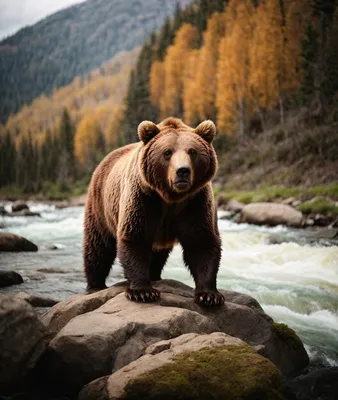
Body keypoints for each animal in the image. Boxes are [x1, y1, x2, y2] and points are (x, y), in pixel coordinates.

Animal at [83, 116, 223, 306]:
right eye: (167, 152)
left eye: (192, 152)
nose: (182, 171)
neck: (171, 197)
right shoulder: (143, 199)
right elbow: (135, 238)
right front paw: (142, 292)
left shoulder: (195, 202)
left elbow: (201, 242)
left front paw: (209, 295)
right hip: (100, 206)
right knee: (98, 246)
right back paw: (95, 285)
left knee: (157, 254)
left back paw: (155, 275)